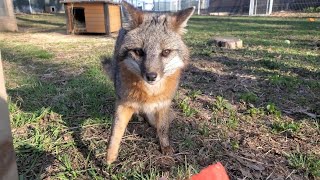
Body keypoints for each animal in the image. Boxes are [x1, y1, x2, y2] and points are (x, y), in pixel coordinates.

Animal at [104, 1, 195, 165]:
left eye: (165, 52)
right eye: (139, 52)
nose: (151, 76)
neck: (150, 93)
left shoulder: (164, 103)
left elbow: (163, 128)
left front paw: (165, 146)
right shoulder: (123, 103)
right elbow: (115, 133)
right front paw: (109, 157)